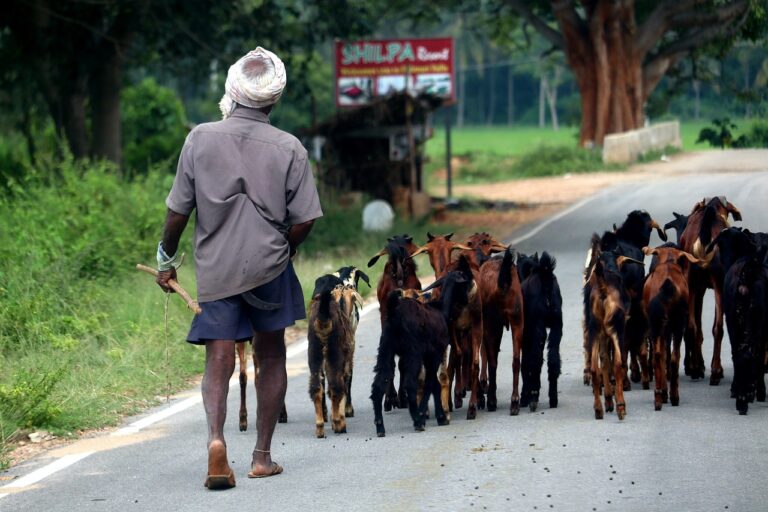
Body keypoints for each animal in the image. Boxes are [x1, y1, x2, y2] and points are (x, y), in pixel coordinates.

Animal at [516, 252, 564, 412]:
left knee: (535, 360)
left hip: (537, 328)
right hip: (557, 326)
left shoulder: (525, 337)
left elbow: (524, 365)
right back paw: (553, 399)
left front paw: (524, 397)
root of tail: (545, 275)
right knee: (553, 360)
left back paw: (533, 398)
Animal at [640, 245, 704, 412]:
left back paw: (661, 396)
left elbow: (663, 355)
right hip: (677, 323)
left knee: (659, 356)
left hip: (658, 325)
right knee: (674, 357)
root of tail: (668, 284)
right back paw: (672, 396)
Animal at [680, 196, 740, 384]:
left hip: (691, 283)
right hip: (718, 283)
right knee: (718, 327)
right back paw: (715, 371)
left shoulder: (698, 287)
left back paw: (696, 370)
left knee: (692, 326)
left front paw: (698, 366)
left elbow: (697, 325)